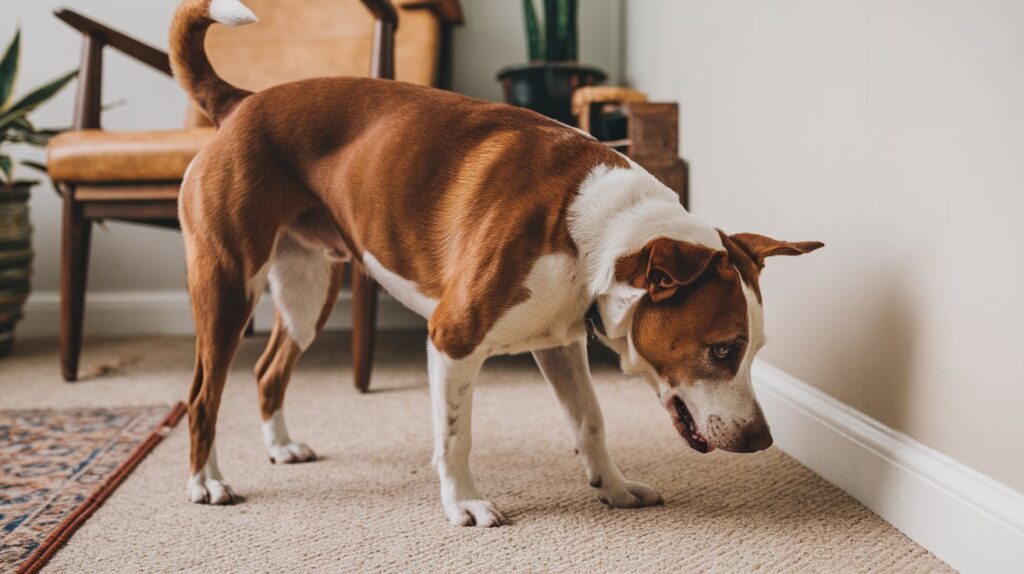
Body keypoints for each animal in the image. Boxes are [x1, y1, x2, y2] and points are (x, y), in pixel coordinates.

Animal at [167, 0, 823, 527]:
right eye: (722, 350)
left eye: (756, 351)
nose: (763, 439)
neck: (594, 233)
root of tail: (242, 102)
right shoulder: (453, 340)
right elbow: (456, 437)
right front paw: (463, 504)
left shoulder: (560, 343)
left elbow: (591, 421)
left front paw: (612, 487)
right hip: (228, 286)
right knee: (203, 395)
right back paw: (206, 483)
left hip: (307, 287)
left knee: (268, 370)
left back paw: (280, 447)